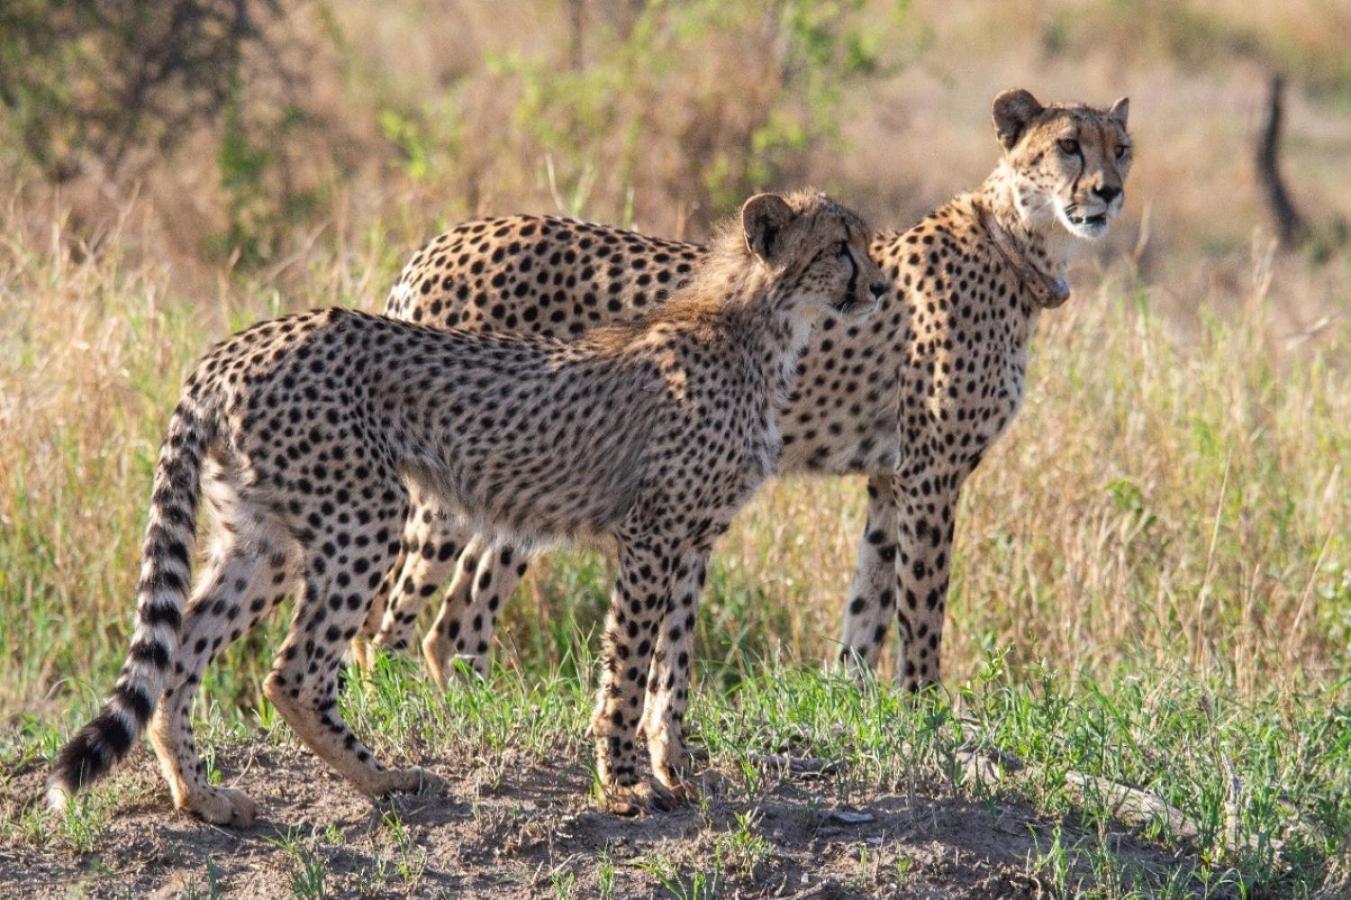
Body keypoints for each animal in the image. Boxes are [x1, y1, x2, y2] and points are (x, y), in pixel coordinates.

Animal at [47, 189, 886, 821]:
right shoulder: (651, 536)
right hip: (364, 513)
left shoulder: (695, 541)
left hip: (264, 537)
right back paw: (385, 778)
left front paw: (676, 771)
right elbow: (626, 664)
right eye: (841, 245)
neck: (760, 328)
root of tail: (231, 346)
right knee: (293, 671)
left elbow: (670, 670)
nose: (877, 290)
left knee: (182, 652)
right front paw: (622, 785)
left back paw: (203, 798)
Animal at [364, 85, 1134, 751]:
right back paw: (400, 712)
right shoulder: (930, 472)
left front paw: (855, 708)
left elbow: (869, 602)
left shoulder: (889, 480)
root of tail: (444, 240)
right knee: (390, 624)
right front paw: (924, 709)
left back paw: (472, 703)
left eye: (1120, 148)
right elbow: (922, 603)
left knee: (454, 620)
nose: (1108, 193)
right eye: (1068, 146)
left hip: (539, 478)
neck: (1018, 242)